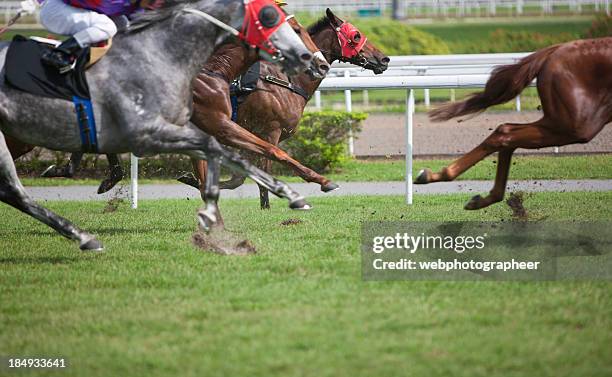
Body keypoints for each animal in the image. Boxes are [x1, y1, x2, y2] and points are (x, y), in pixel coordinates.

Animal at [184, 8, 390, 209]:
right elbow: (263, 171)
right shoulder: (270, 131)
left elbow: (240, 176)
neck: (285, 80)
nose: (384, 59)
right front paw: (266, 207)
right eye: (356, 35)